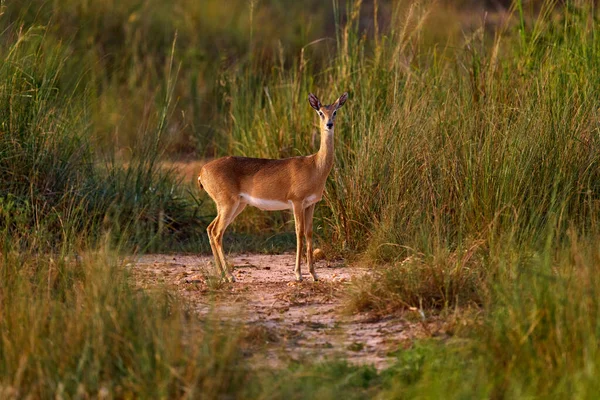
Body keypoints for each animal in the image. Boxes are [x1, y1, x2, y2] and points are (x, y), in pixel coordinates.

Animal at [197, 92, 346, 282]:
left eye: (335, 111)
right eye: (320, 112)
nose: (329, 124)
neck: (315, 166)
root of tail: (202, 171)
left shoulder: (311, 204)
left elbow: (309, 233)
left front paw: (314, 274)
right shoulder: (297, 202)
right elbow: (299, 233)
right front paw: (298, 274)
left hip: (236, 205)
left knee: (211, 229)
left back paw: (222, 275)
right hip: (228, 204)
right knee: (217, 232)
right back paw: (230, 276)